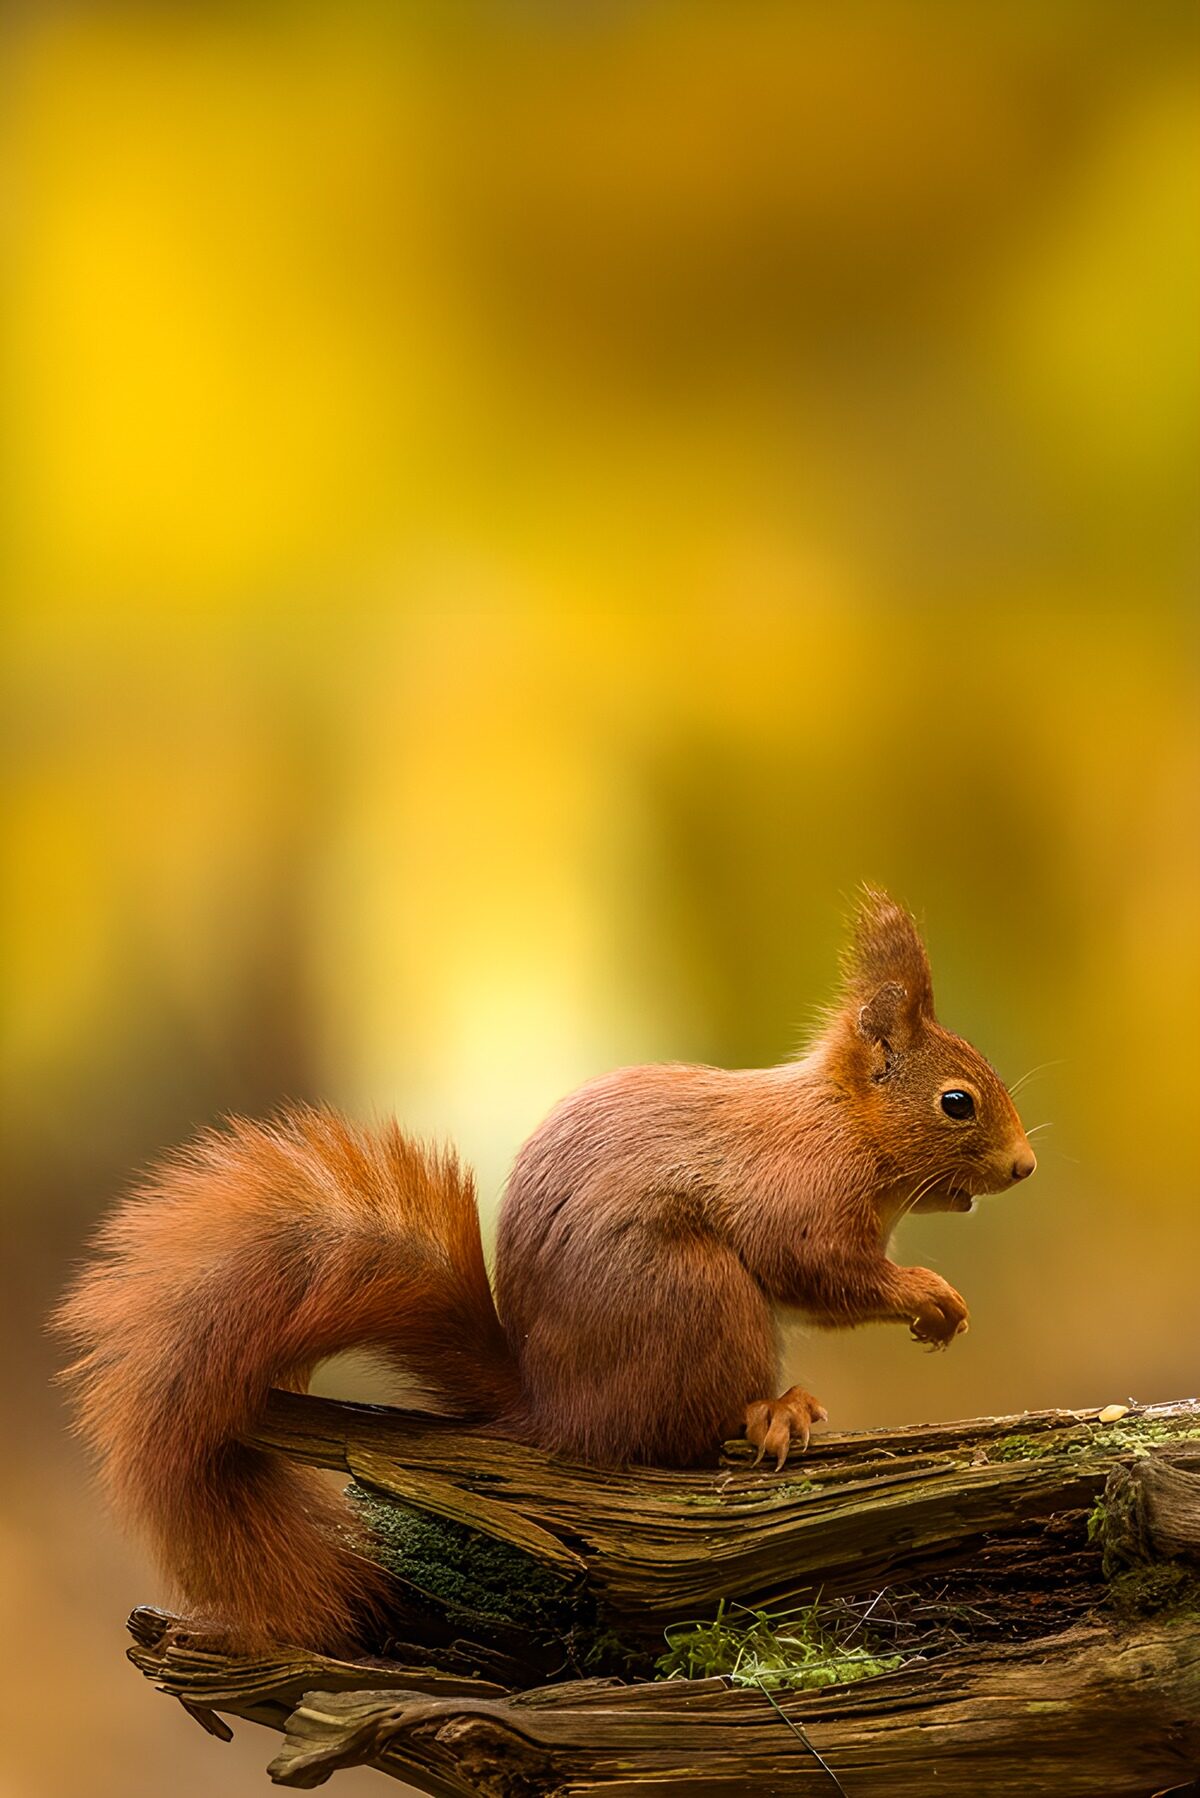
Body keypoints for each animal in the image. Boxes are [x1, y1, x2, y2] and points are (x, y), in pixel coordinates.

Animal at [55, 888, 1036, 1656]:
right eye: (957, 1102)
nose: (1025, 1168)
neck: (844, 1125)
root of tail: (555, 1410)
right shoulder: (800, 1199)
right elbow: (821, 1272)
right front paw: (933, 1300)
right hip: (700, 1296)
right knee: (677, 1437)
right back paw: (774, 1411)